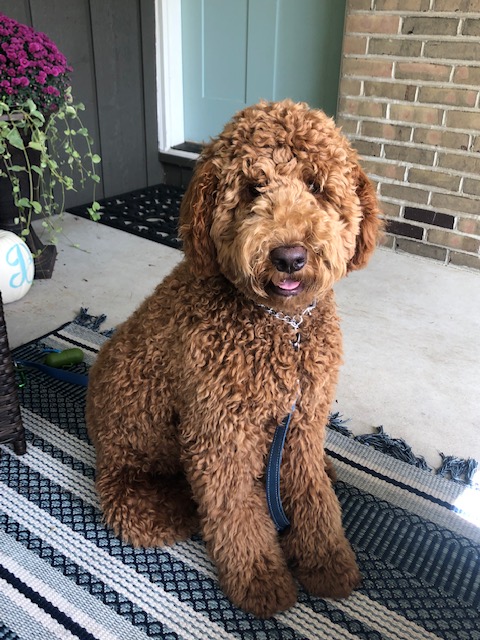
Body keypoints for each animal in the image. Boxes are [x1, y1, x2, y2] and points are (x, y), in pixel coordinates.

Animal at [86, 99, 382, 616]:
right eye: (252, 188)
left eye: (316, 186)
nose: (289, 256)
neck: (284, 327)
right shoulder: (220, 433)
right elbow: (237, 512)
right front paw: (261, 580)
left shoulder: (303, 420)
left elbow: (313, 496)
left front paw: (327, 563)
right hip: (136, 471)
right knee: (144, 505)